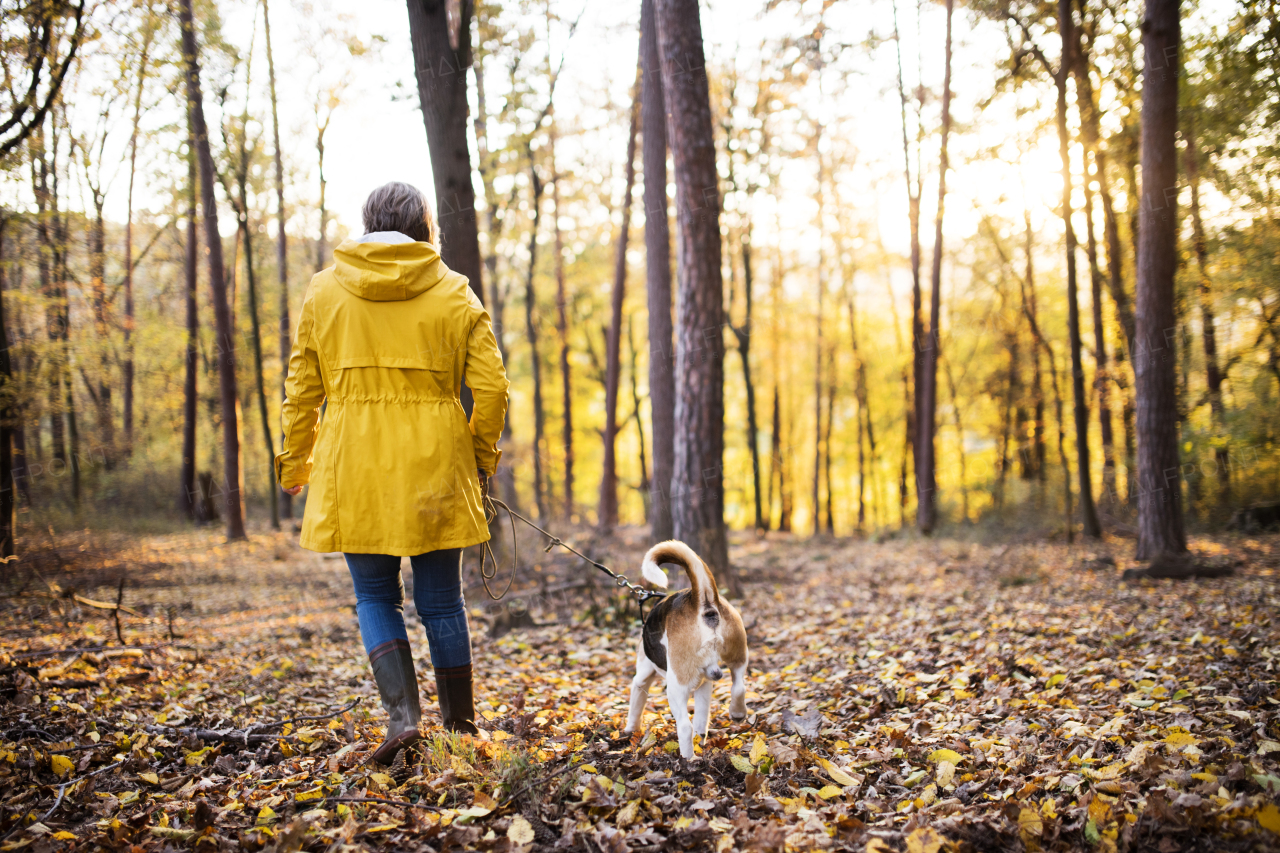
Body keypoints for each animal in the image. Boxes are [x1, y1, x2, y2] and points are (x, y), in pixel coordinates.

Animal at [622, 540, 747, 753]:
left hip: (675, 686)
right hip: (738, 655)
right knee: (738, 687)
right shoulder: (704, 685)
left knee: (684, 726)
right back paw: (737, 713)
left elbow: (635, 707)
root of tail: (700, 601)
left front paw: (630, 730)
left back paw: (688, 758)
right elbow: (702, 719)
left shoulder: (642, 677)